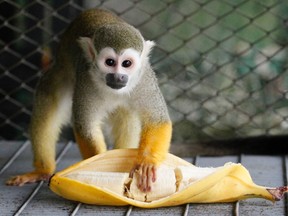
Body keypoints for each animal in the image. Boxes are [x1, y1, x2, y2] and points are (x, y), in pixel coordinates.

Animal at [6, 8, 172, 192]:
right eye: (110, 62)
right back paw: (42, 171)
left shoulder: (145, 78)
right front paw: (97, 166)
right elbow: (85, 126)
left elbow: (157, 121)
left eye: (127, 64)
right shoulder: (86, 78)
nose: (118, 77)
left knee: (127, 116)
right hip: (61, 74)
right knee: (46, 109)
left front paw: (147, 163)